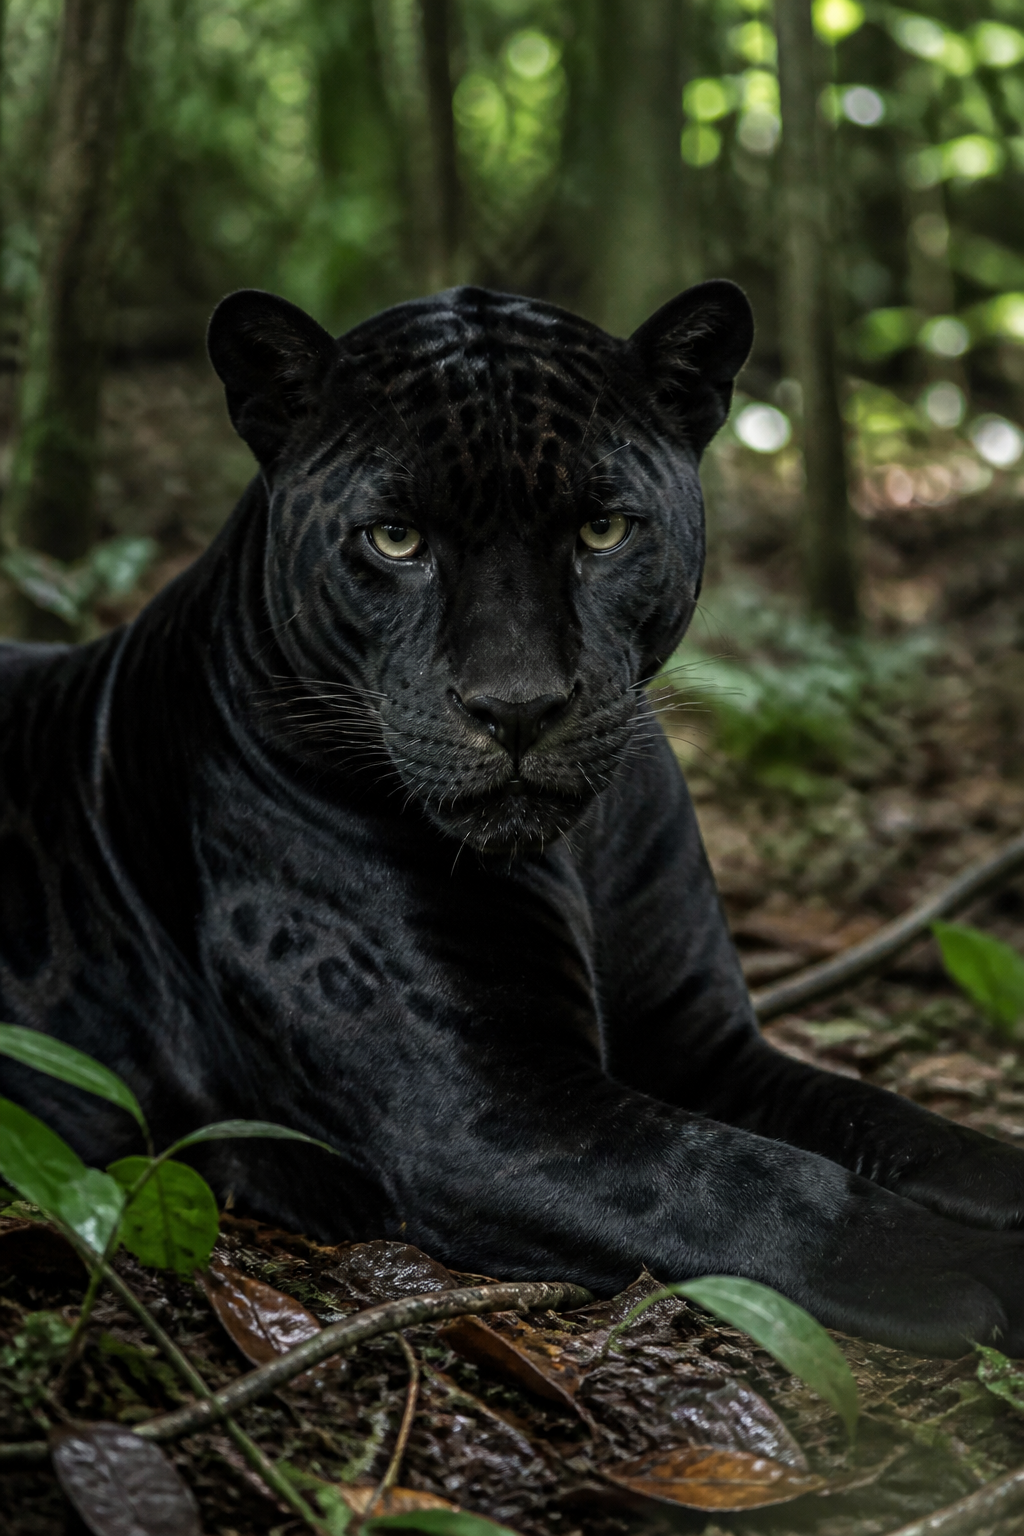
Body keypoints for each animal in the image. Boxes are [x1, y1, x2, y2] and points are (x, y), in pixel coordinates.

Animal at [3, 278, 1024, 1356]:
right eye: (395, 539)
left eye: (603, 530)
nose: (518, 706)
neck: (581, 852)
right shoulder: (490, 1113)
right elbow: (754, 1180)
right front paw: (970, 1269)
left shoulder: (703, 1046)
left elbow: (893, 1123)